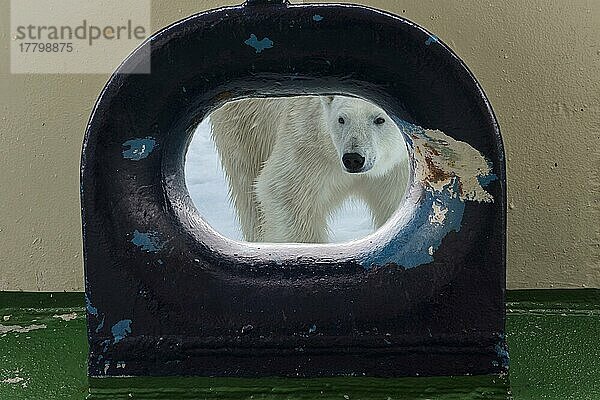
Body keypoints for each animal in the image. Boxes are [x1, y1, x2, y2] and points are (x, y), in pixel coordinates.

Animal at [209, 95, 410, 242]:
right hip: (245, 124)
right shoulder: (307, 144)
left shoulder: (398, 168)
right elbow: (286, 194)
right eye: (341, 119)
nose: (353, 159)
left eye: (379, 119)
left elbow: (393, 201)